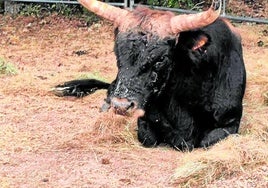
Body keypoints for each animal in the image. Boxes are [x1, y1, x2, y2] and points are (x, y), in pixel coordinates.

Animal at [52, 0, 247, 150]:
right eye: (116, 52)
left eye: (161, 58)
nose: (121, 105)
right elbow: (148, 138)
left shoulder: (230, 122)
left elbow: (206, 141)